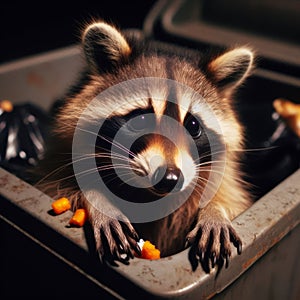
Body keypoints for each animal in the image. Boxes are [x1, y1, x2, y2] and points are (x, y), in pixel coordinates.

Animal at [36, 21, 254, 268]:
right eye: (141, 120)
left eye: (193, 126)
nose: (170, 178)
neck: (149, 196)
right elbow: (58, 187)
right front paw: (98, 201)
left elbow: (228, 196)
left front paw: (215, 210)